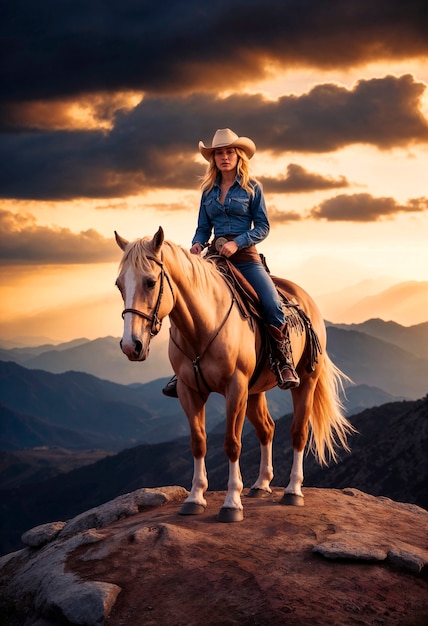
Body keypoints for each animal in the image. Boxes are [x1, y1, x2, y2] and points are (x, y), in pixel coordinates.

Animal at [114, 227, 354, 520]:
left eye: (150, 282)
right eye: (119, 285)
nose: (131, 345)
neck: (202, 326)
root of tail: (305, 299)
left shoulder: (235, 388)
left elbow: (232, 443)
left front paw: (231, 504)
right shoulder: (188, 390)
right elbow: (198, 442)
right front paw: (195, 499)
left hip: (305, 382)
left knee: (298, 431)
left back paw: (293, 491)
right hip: (255, 392)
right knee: (267, 429)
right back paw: (261, 485)